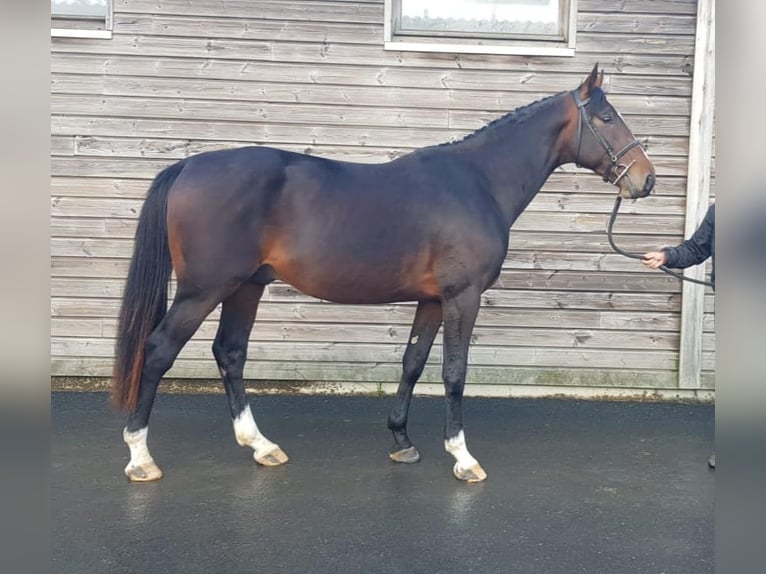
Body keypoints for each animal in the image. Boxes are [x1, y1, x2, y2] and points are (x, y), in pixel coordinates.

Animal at [112, 65, 656, 484]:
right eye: (607, 117)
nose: (646, 180)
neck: (478, 182)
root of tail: (187, 166)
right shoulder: (463, 296)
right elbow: (454, 372)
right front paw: (462, 457)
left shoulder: (432, 299)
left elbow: (413, 363)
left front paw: (402, 440)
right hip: (204, 291)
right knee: (158, 350)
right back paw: (140, 457)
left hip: (246, 287)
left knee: (230, 353)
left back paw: (261, 446)